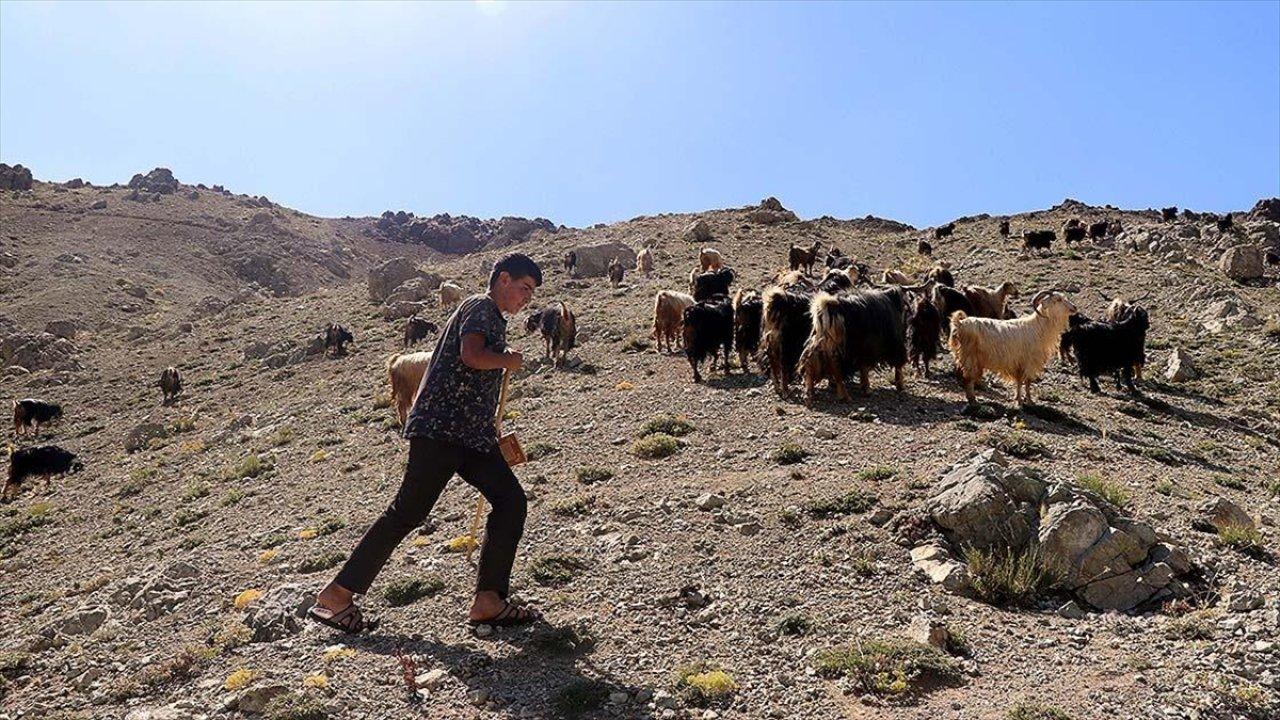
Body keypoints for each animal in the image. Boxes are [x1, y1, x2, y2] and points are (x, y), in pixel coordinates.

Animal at [947, 288, 1075, 407]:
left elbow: (1019, 381)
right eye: (1058, 299)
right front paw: (1029, 401)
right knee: (968, 379)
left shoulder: (1018, 363)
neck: (1038, 327)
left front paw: (1018, 399)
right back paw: (973, 400)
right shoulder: (1029, 362)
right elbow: (1028, 382)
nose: (1074, 307)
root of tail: (960, 323)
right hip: (970, 356)